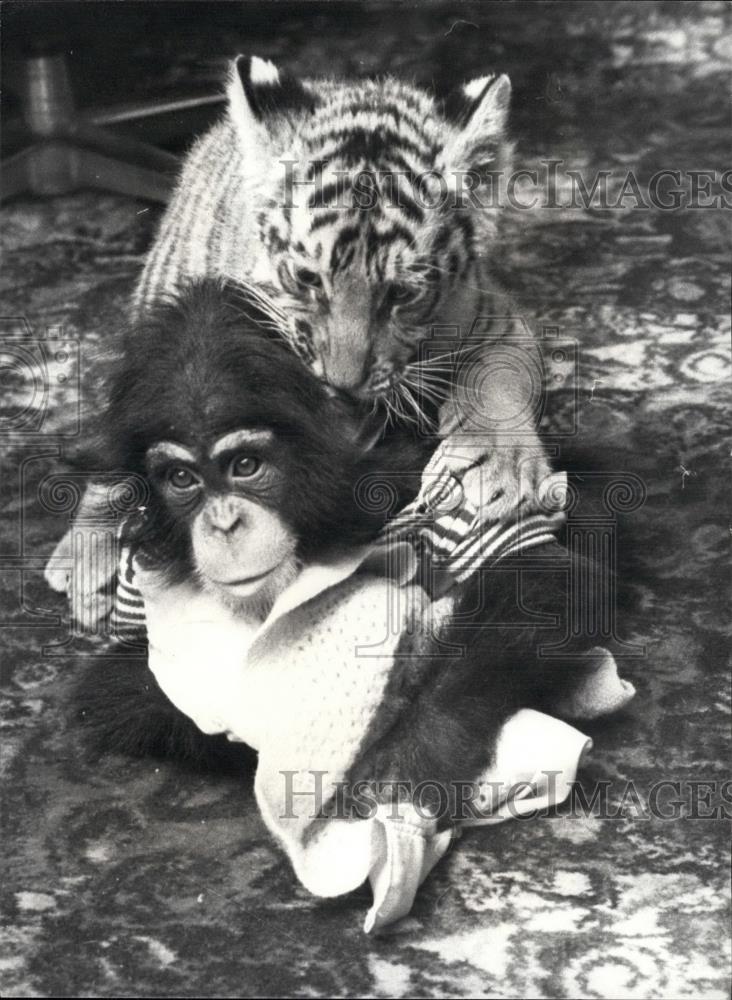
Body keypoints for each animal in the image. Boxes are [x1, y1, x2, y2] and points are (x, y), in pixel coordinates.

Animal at [45, 56, 551, 620]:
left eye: (402, 293)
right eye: (308, 279)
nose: (344, 383)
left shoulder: (498, 321)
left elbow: (498, 380)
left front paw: (500, 463)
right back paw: (83, 557)